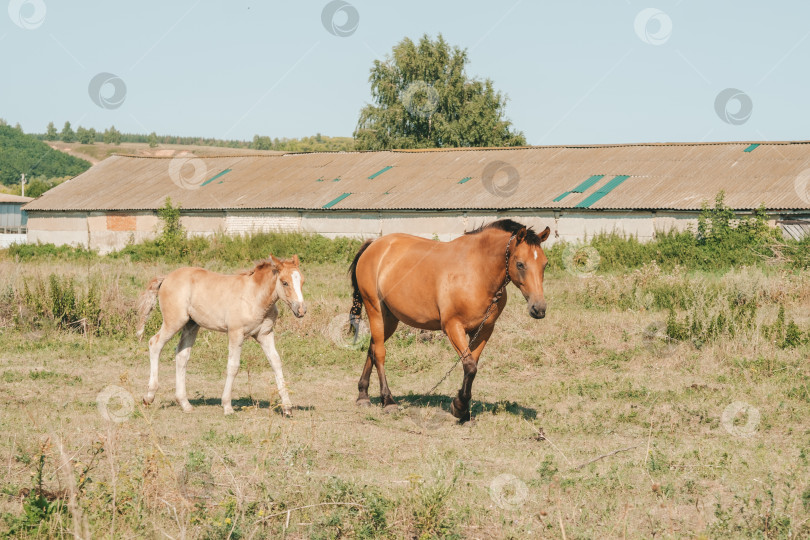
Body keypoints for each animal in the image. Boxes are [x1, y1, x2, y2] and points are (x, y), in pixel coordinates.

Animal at [137, 255, 306, 416]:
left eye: (302, 281)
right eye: (284, 282)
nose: (301, 310)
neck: (254, 297)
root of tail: (166, 277)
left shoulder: (265, 334)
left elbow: (276, 362)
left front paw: (287, 407)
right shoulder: (236, 333)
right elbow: (233, 366)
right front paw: (227, 406)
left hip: (191, 325)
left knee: (182, 355)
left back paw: (185, 404)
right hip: (174, 321)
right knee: (154, 343)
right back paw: (149, 397)